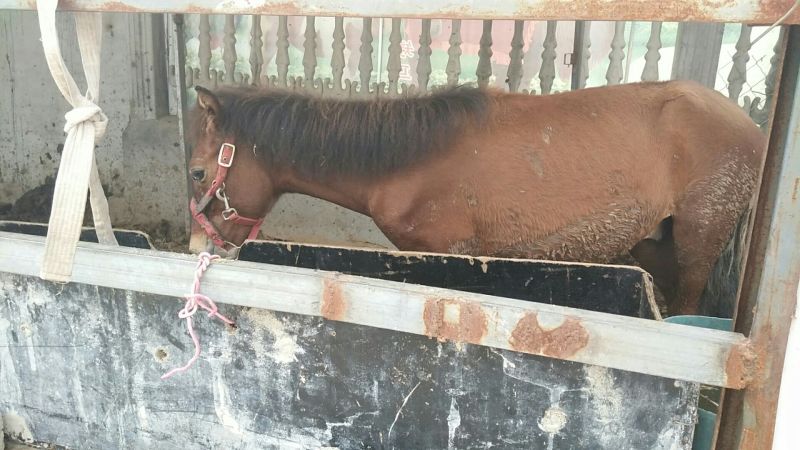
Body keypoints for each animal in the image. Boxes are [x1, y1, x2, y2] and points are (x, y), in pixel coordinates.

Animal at [185, 81, 765, 316]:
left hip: (698, 240)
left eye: (197, 173)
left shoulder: (443, 255)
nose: (195, 249)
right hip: (653, 242)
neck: (409, 160)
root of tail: (752, 126)